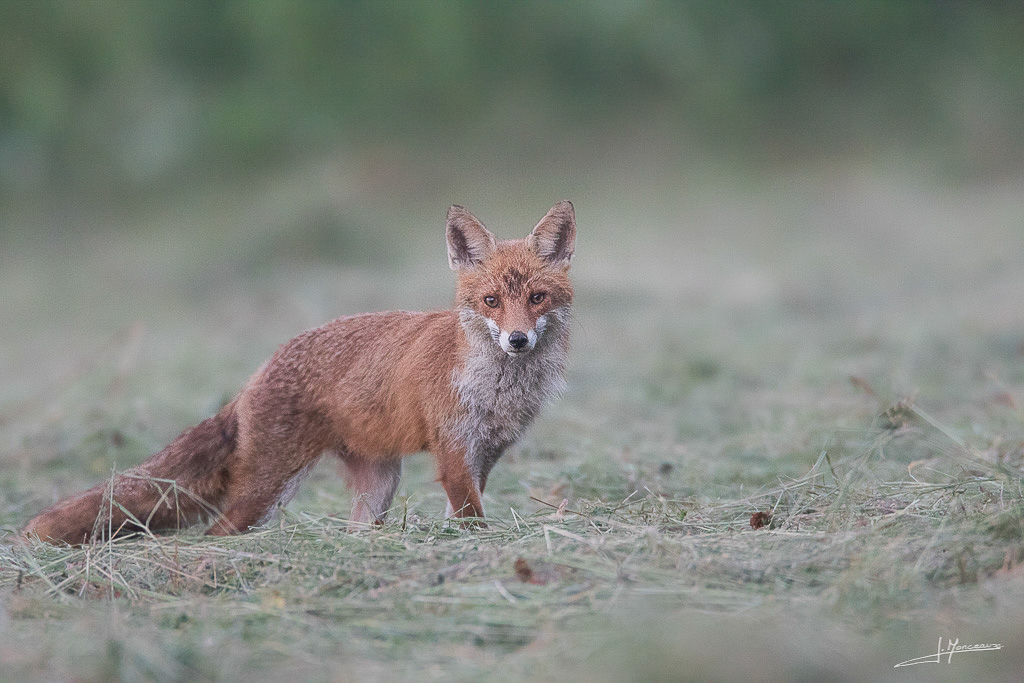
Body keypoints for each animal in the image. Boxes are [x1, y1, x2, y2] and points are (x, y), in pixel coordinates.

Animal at [23, 201, 576, 545]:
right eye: (491, 301)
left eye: (537, 297)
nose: (518, 340)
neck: (498, 387)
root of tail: (257, 372)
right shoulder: (454, 449)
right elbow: (471, 516)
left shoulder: (486, 452)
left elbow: (464, 515)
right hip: (267, 490)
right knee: (214, 531)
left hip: (379, 484)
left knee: (356, 527)